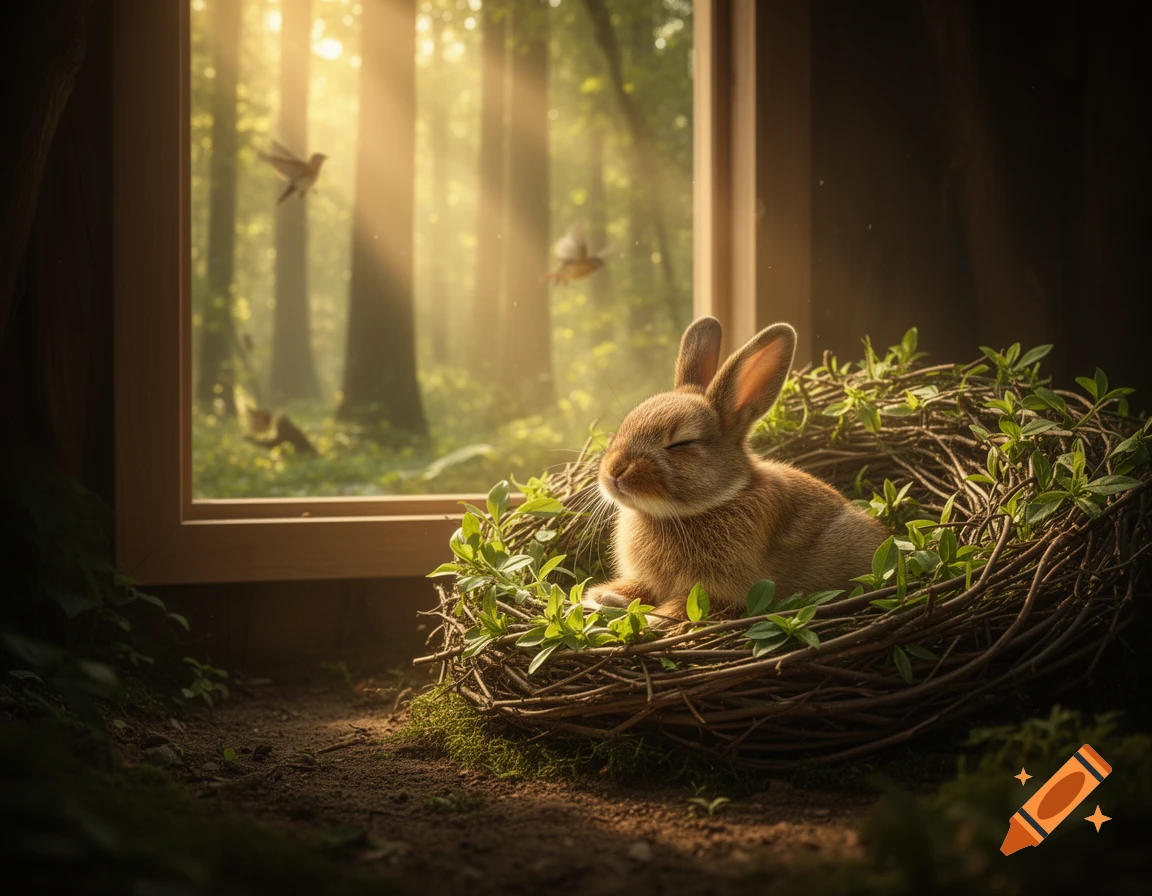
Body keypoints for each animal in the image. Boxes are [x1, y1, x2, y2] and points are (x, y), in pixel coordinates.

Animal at [584, 316, 888, 623]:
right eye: (625, 426)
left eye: (681, 443)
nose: (614, 471)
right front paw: (603, 597)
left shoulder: (720, 592)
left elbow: (681, 609)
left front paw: (648, 619)